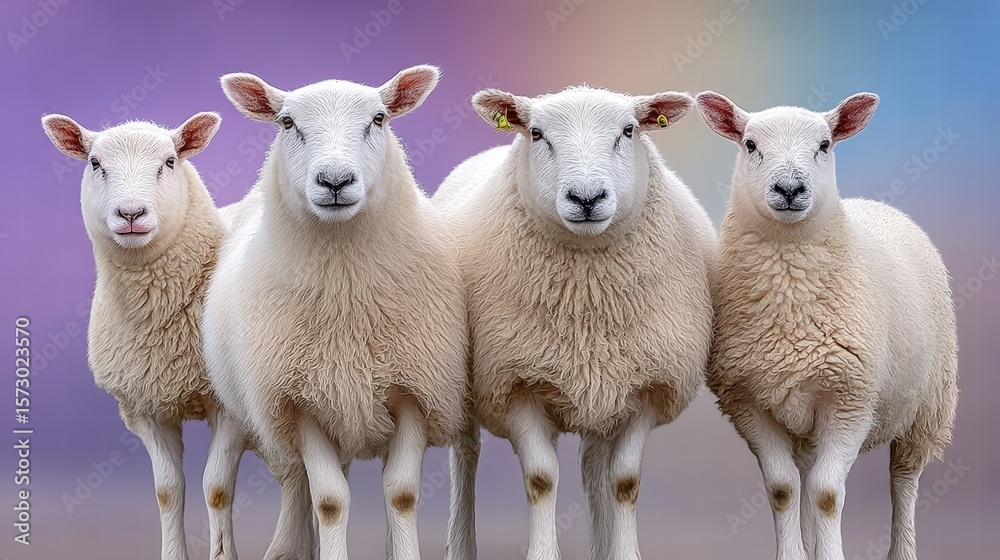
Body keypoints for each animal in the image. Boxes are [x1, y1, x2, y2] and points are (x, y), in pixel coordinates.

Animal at [40, 114, 315, 560]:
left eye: (169, 161)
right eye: (95, 163)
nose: (130, 213)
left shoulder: (230, 408)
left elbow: (216, 488)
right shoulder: (145, 407)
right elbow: (168, 491)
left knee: (295, 473)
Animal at [202, 65, 469, 560]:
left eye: (379, 119)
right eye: (287, 122)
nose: (335, 180)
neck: (347, 295)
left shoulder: (414, 393)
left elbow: (401, 494)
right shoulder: (298, 402)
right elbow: (328, 500)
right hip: (257, 407)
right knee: (275, 483)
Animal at [434, 86, 716, 560]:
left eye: (629, 130)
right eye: (536, 133)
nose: (587, 198)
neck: (587, 302)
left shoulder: (645, 387)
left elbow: (624, 482)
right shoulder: (515, 384)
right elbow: (541, 480)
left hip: (604, 389)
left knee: (593, 467)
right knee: (465, 457)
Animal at [695, 91, 958, 560]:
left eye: (824, 144)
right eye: (749, 144)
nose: (789, 189)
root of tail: (873, 204)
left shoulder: (850, 398)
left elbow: (826, 494)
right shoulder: (747, 401)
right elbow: (783, 489)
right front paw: (793, 554)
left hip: (928, 404)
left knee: (904, 479)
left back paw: (903, 548)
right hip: (801, 416)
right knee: (803, 473)